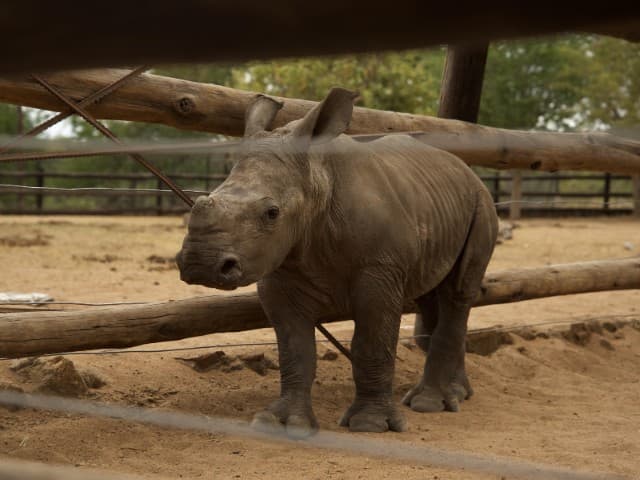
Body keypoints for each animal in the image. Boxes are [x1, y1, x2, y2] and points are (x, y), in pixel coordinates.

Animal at [176, 88, 498, 435]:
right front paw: (283, 422)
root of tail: (466, 169)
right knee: (431, 294)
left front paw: (370, 425)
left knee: (457, 292)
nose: (199, 263)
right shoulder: (280, 271)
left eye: (272, 213)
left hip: (481, 203)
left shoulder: (380, 271)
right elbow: (295, 350)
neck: (318, 183)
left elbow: (372, 343)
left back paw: (429, 404)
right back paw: (458, 393)